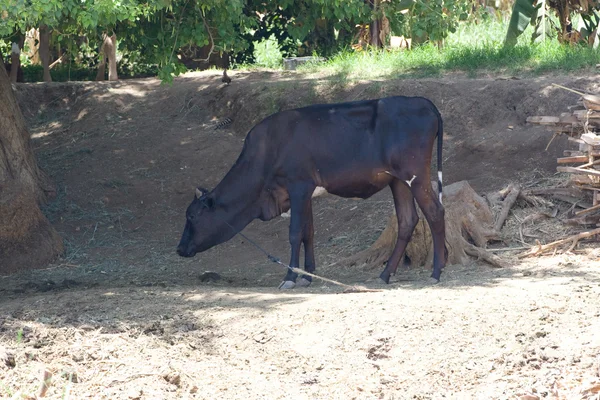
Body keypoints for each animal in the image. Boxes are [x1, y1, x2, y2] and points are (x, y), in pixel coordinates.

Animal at [176, 94, 442, 288]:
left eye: (192, 216)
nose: (179, 248)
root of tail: (423, 102)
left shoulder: (298, 185)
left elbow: (295, 233)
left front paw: (290, 277)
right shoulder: (304, 193)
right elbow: (308, 232)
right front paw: (307, 275)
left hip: (416, 175)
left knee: (435, 212)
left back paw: (437, 271)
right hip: (398, 180)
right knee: (408, 220)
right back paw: (385, 274)